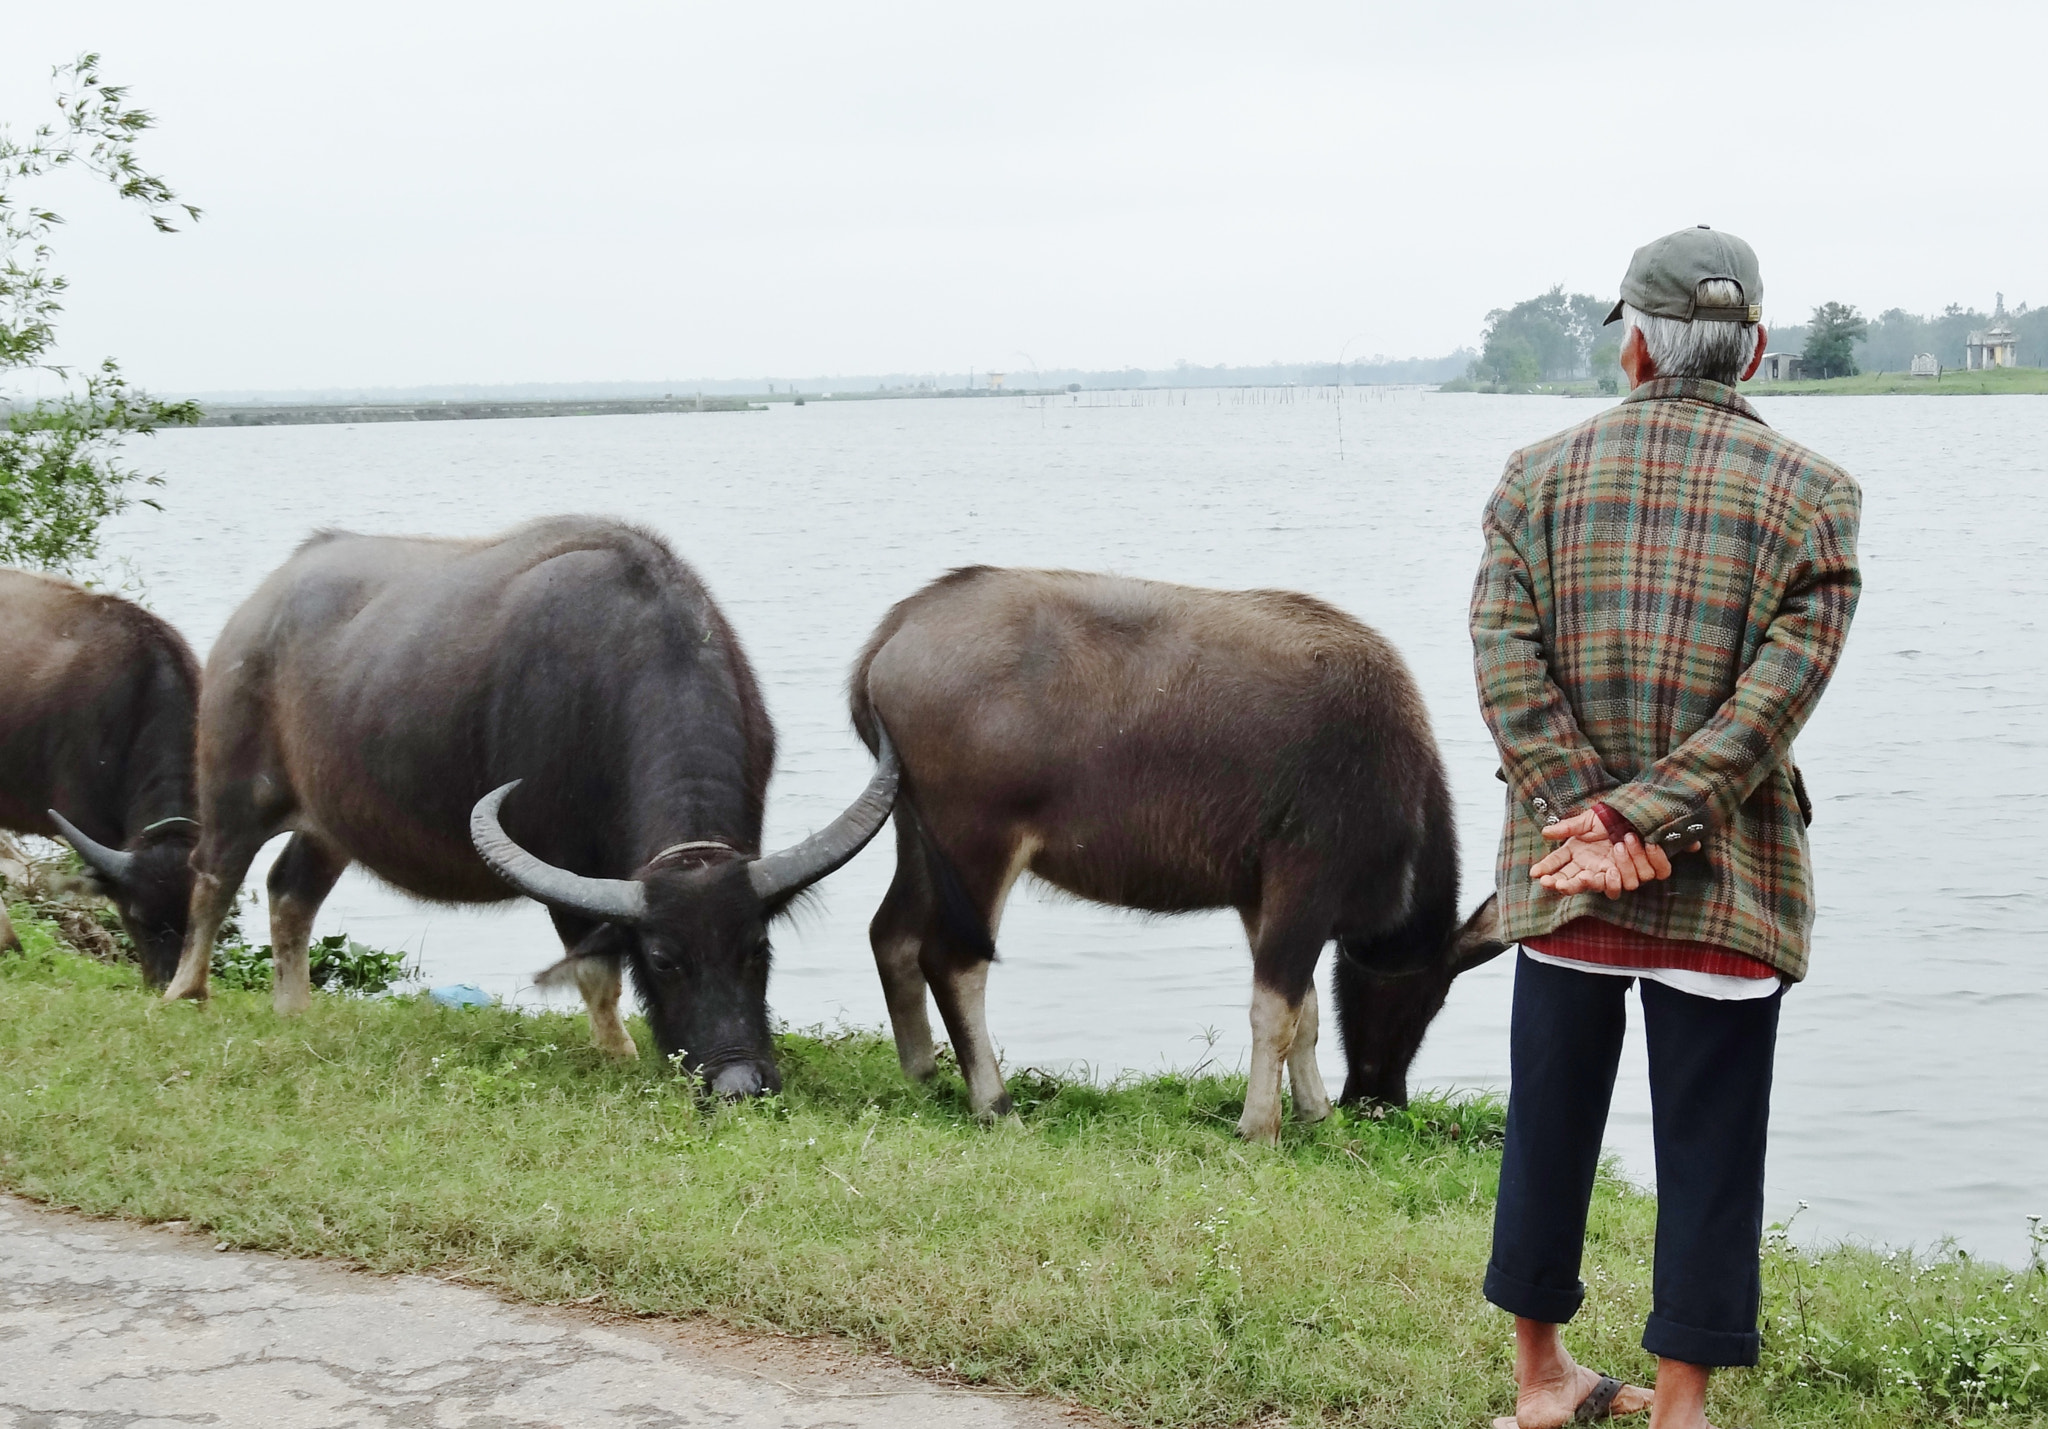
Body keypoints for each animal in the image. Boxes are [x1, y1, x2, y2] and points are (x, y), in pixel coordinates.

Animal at [847, 560, 1507, 1138]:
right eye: (1424, 1000)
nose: (1380, 1096)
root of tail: (892, 635)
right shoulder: (1306, 878)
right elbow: (1276, 1011)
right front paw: (1259, 1126)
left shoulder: (1258, 897)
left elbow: (1308, 1014)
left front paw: (1314, 1111)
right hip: (977, 845)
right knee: (953, 961)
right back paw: (996, 1104)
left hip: (915, 835)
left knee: (892, 935)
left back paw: (923, 1077)